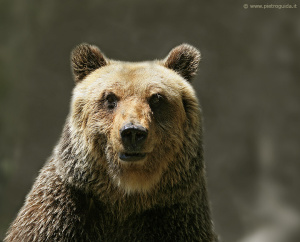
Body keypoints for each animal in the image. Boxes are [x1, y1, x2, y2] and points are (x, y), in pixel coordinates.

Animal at [5, 42, 217, 241]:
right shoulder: (60, 212)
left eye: (156, 98)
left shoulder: (177, 216)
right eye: (110, 97)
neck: (126, 193)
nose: (133, 132)